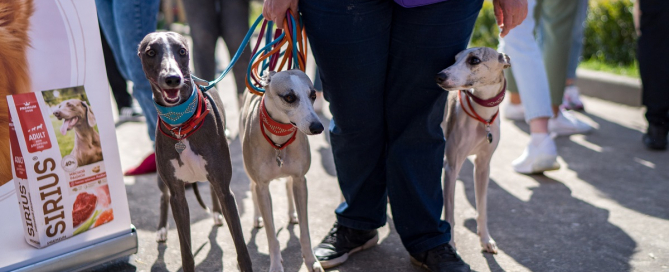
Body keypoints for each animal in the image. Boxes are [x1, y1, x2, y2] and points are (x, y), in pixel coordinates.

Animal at [137, 32, 252, 272]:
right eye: (150, 52)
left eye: (182, 50)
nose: (172, 78)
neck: (182, 125)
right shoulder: (178, 196)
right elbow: (186, 250)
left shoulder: (225, 188)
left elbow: (240, 244)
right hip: (163, 180)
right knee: (163, 197)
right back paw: (161, 229)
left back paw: (216, 214)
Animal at [239, 70, 324, 272]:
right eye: (290, 97)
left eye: (313, 95)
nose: (318, 127)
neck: (279, 140)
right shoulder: (262, 186)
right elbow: (271, 235)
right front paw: (276, 264)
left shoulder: (300, 180)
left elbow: (305, 231)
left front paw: (311, 260)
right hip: (251, 174)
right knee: (252, 189)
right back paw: (256, 217)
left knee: (287, 186)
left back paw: (292, 214)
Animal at [436, 47, 508, 255]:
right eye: (455, 59)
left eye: (474, 60)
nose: (440, 76)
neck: (482, 118)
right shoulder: (451, 167)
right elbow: (450, 212)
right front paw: (451, 244)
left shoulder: (483, 166)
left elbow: (481, 207)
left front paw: (485, 240)